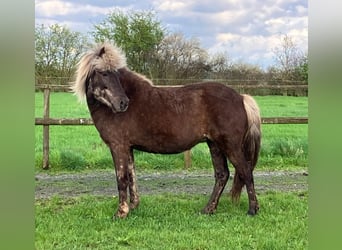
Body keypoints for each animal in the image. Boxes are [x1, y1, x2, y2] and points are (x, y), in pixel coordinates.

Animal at [71, 43, 260, 219]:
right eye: (103, 73)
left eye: (116, 74)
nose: (123, 103)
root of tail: (241, 97)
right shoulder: (128, 148)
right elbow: (132, 176)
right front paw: (133, 207)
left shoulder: (118, 146)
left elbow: (121, 178)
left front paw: (121, 213)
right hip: (214, 144)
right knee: (222, 175)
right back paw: (208, 209)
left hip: (230, 145)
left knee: (245, 171)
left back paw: (252, 210)